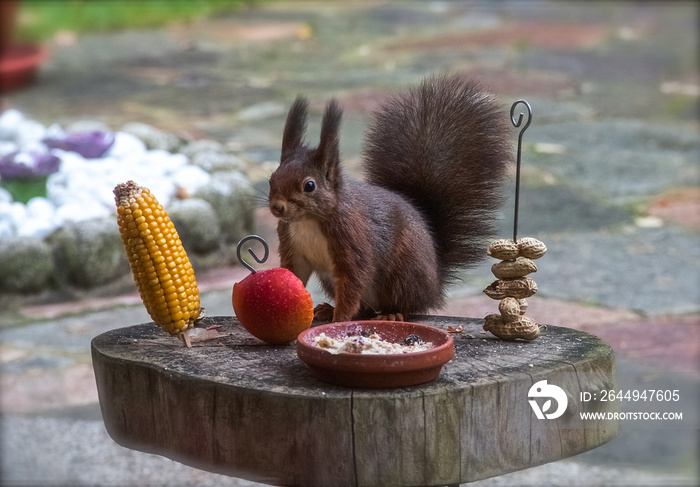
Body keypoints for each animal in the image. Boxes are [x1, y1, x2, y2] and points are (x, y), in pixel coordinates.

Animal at [268, 73, 508, 324]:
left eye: (309, 186)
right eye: (272, 179)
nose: (277, 207)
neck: (309, 221)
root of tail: (435, 284)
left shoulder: (352, 240)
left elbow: (353, 280)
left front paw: (340, 320)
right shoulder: (292, 245)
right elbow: (294, 274)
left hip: (403, 274)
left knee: (408, 305)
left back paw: (392, 313)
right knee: (364, 309)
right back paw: (328, 309)